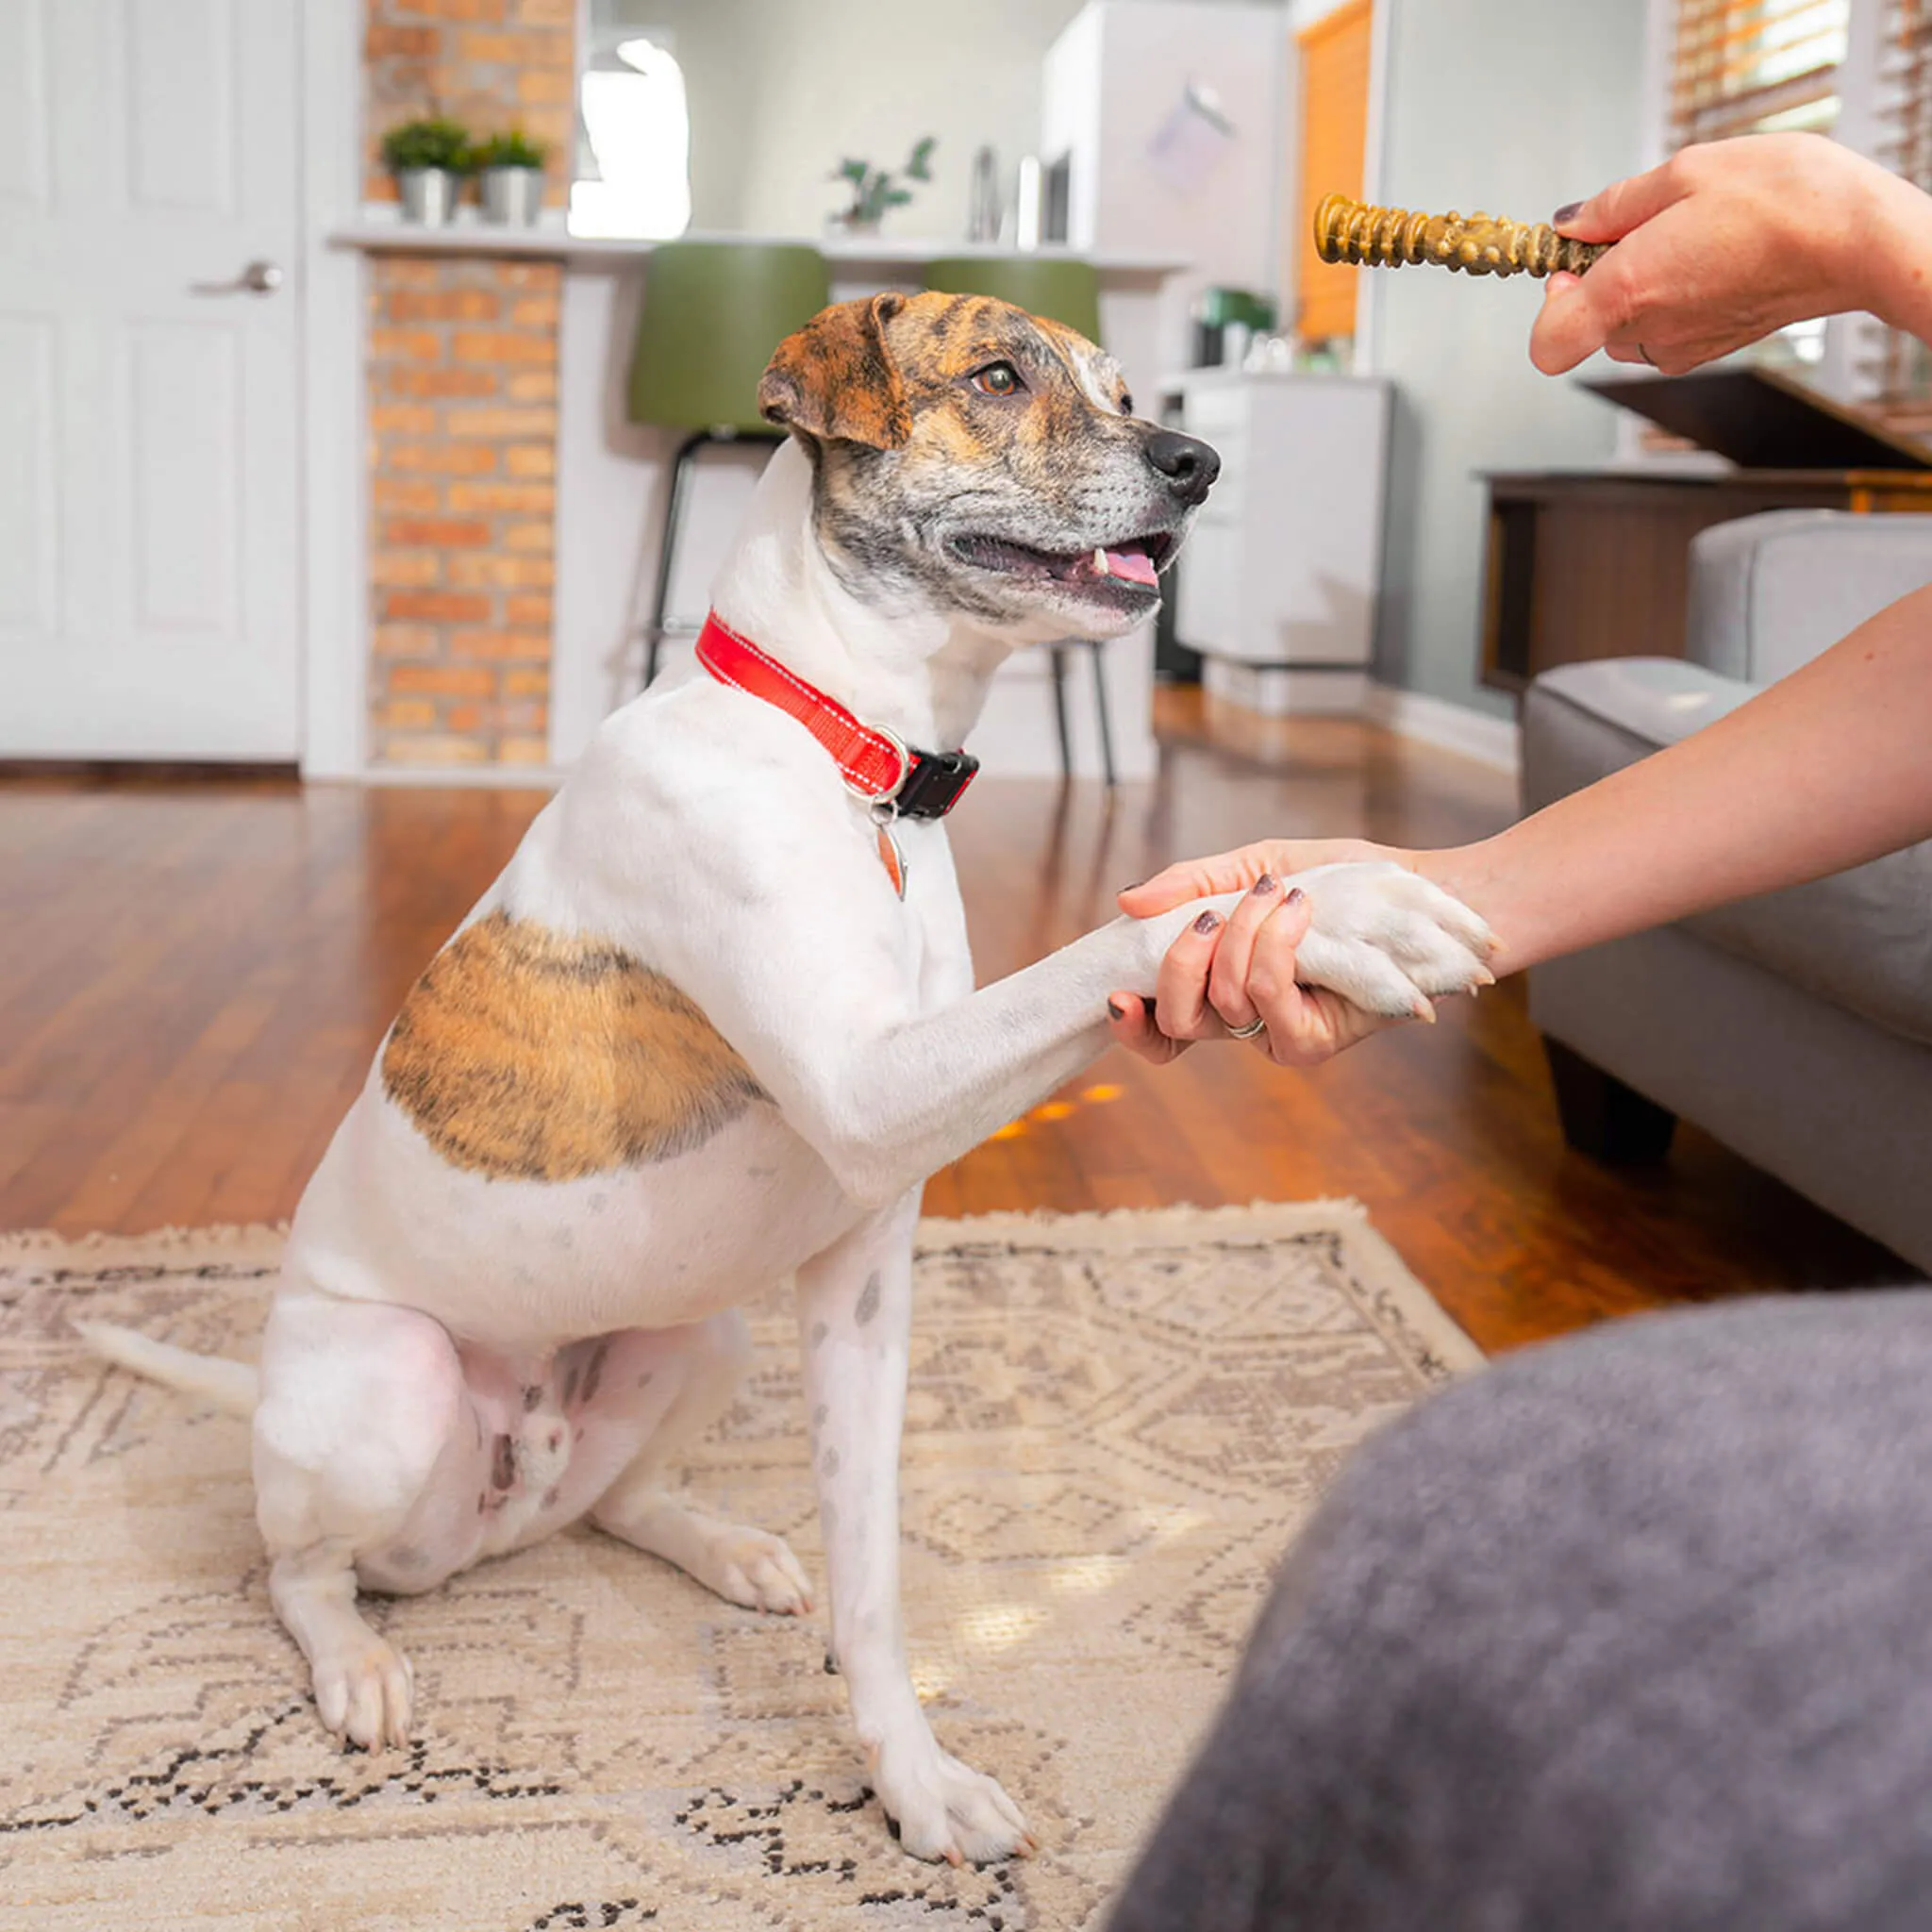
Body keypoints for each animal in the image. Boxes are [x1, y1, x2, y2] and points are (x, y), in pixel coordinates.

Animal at [83, 293, 1499, 1862]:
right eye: (997, 376)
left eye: (1129, 390)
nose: (1197, 462)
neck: (848, 753)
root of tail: (503, 1500)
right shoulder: (872, 1092)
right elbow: (1108, 942)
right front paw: (1352, 911)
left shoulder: (864, 1281)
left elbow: (873, 1569)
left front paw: (912, 1777)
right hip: (389, 1390)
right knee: (302, 1570)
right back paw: (358, 1667)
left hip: (705, 1340)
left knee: (613, 1500)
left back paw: (723, 1546)